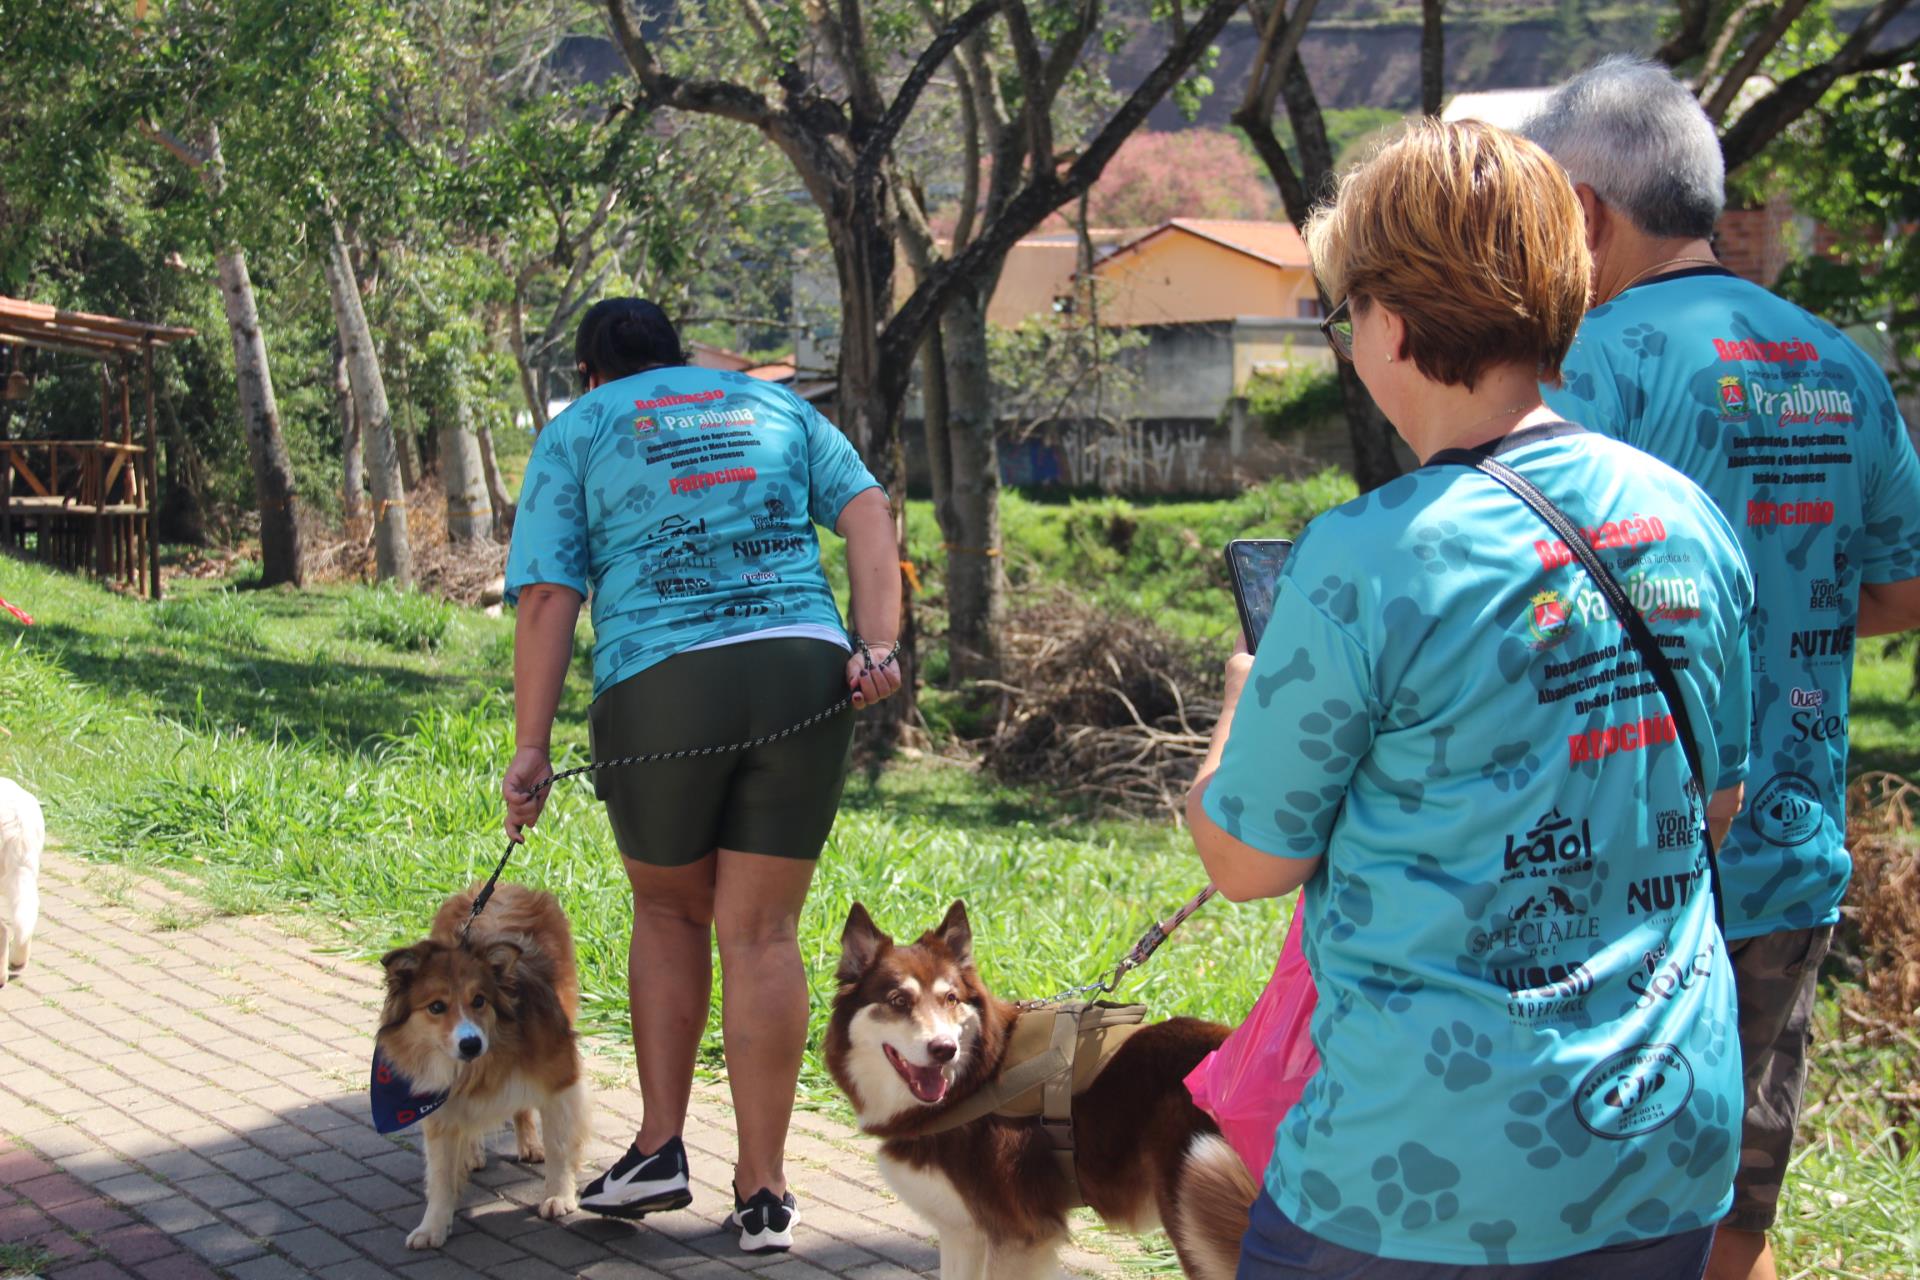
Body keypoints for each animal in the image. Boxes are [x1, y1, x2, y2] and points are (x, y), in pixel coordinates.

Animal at [377, 882, 589, 1248]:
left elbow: (560, 1145)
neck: (480, 1067)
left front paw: (559, 1195)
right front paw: (433, 1226)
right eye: (436, 1007)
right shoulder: (439, 1103)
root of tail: (502, 884)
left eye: (479, 1000)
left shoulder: (560, 1077)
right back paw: (473, 1153)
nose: (471, 1043)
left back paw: (529, 1145)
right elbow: (441, 1174)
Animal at [825, 901, 1256, 1280]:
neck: (978, 1077)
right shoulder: (963, 1232)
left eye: (950, 999)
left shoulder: (1019, 1235)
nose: (944, 1049)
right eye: (898, 1000)